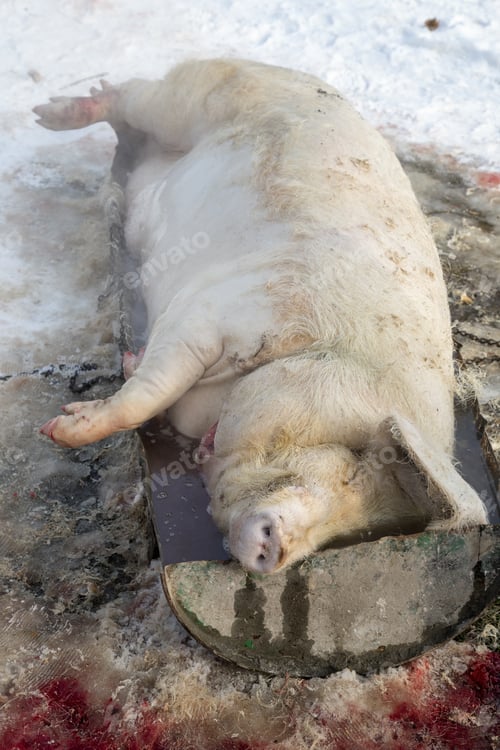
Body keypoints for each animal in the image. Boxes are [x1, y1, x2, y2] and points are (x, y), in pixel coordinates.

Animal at [34, 58, 487, 573]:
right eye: (352, 468)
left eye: (357, 531)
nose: (277, 549)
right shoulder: (213, 314)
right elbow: (146, 394)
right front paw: (56, 430)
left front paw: (123, 369)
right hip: (192, 98)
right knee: (132, 94)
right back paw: (46, 114)